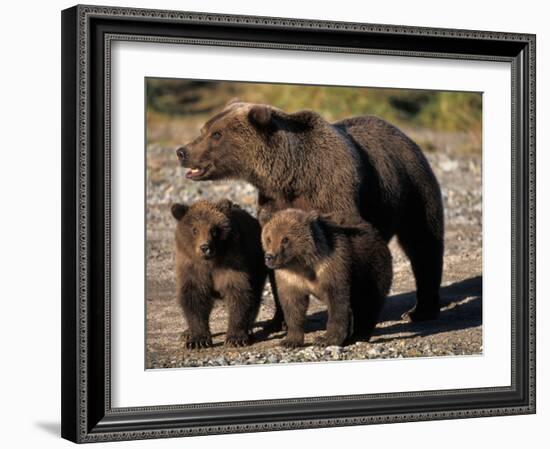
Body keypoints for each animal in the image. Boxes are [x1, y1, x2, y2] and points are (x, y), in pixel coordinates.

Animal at [179, 100, 446, 328]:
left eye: (216, 134)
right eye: (204, 129)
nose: (182, 151)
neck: (291, 176)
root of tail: (404, 135)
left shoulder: (333, 193)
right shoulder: (273, 205)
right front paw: (280, 319)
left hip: (413, 186)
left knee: (424, 244)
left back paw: (420, 311)